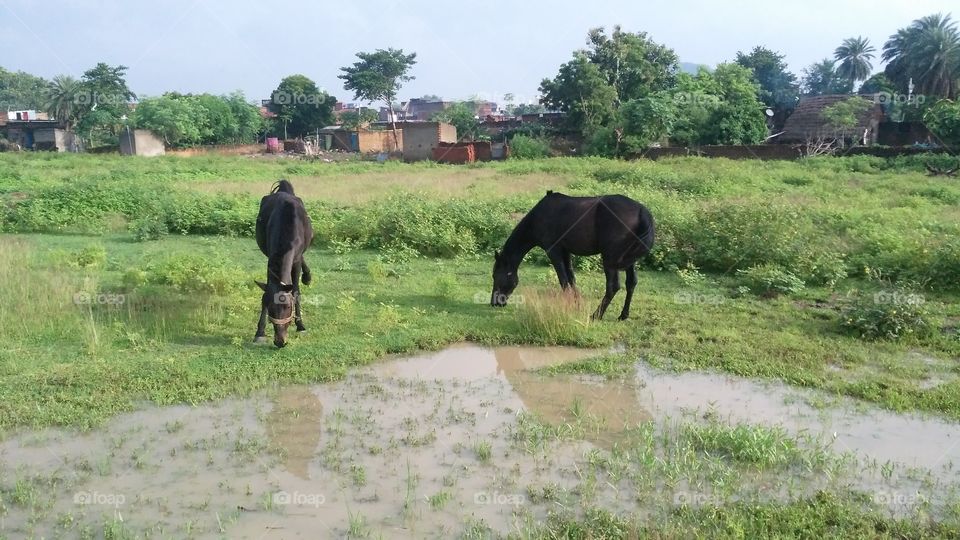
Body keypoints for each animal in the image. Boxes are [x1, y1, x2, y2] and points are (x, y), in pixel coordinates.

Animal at [254, 180, 313, 347]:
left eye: (287, 306)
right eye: (271, 307)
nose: (280, 341)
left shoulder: (296, 260)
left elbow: (296, 292)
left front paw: (300, 325)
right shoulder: (271, 261)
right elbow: (266, 293)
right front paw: (260, 332)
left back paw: (307, 277)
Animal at [491, 191, 655, 321]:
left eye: (495, 276)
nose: (494, 303)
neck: (539, 217)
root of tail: (641, 211)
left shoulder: (553, 251)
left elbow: (563, 280)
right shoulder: (566, 252)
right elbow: (571, 279)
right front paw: (577, 304)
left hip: (609, 260)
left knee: (612, 287)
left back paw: (596, 315)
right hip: (630, 262)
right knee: (631, 283)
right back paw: (623, 315)